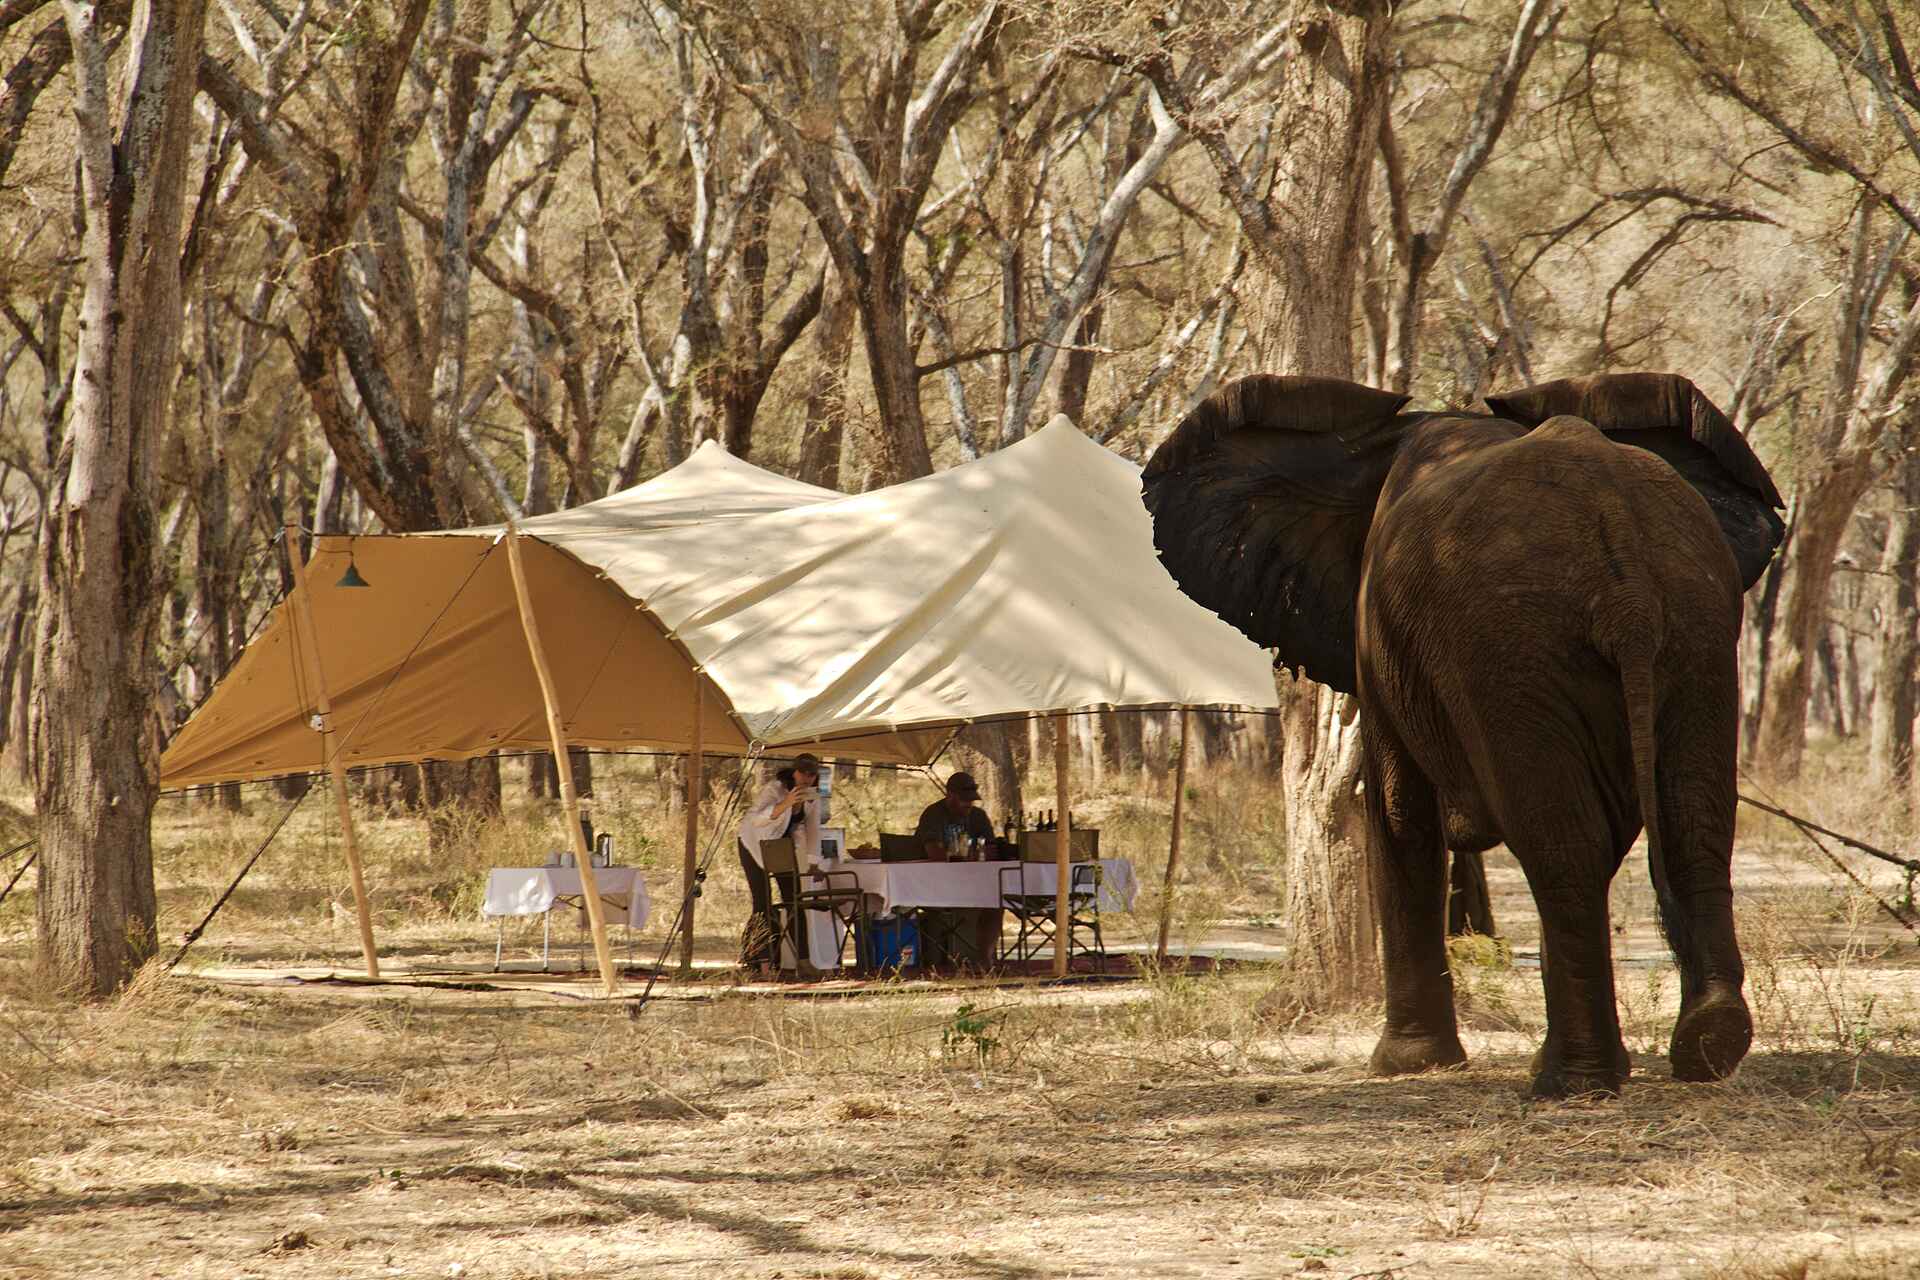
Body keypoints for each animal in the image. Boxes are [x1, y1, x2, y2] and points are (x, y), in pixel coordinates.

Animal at [1141, 372, 1785, 1098]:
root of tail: (1626, 583)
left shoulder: (1380, 640)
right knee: (1691, 827)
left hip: (1508, 649)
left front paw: (1406, 1065)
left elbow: (1398, 815)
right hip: (1695, 631)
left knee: (1565, 845)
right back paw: (1707, 1047)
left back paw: (1569, 1082)